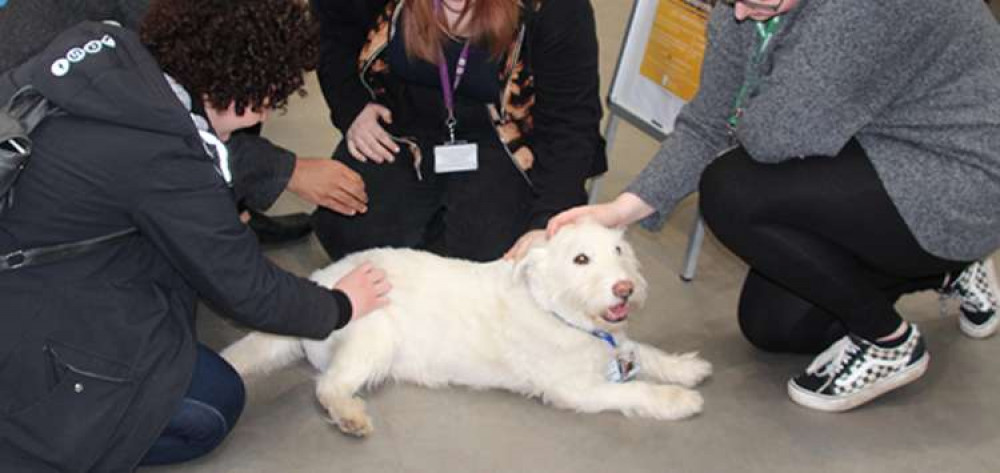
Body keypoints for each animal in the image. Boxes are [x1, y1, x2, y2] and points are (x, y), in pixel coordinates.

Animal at [224, 221, 716, 436]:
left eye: (618, 250)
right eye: (581, 259)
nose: (624, 289)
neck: (555, 311)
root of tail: (322, 283)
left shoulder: (619, 343)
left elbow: (645, 352)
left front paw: (685, 369)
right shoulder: (576, 390)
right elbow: (634, 391)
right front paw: (678, 400)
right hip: (373, 341)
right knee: (328, 387)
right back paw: (350, 415)